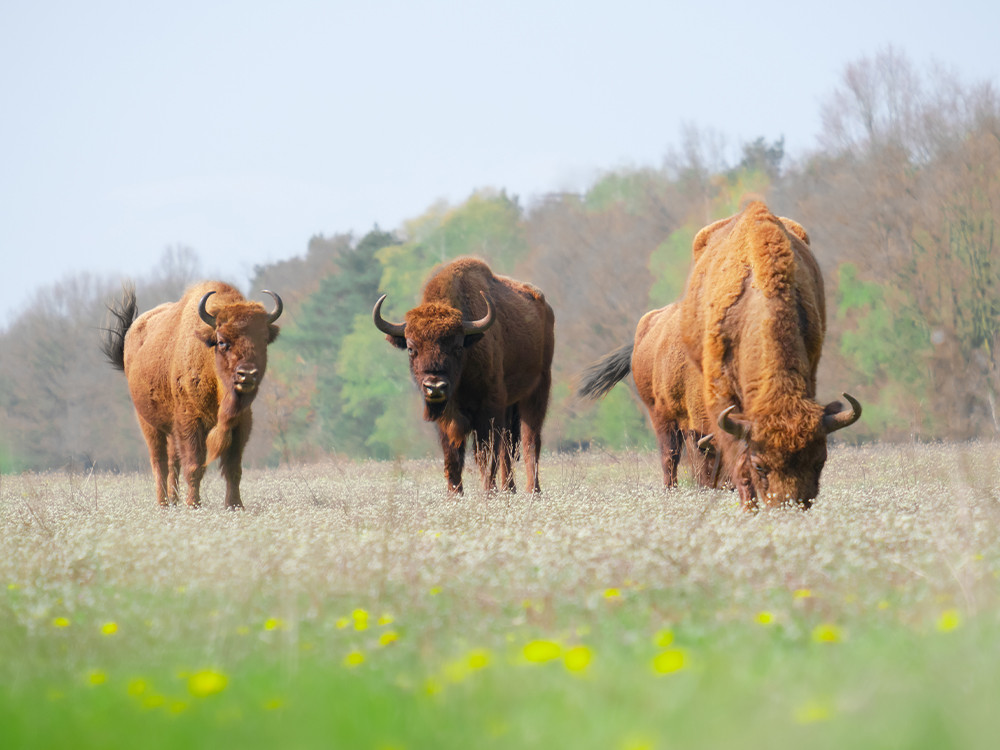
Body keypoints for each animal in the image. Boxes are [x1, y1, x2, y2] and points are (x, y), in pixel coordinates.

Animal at [101, 284, 280, 512]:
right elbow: (195, 465)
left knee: (172, 462)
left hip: (170, 430)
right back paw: (163, 504)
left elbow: (233, 468)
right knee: (159, 462)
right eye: (222, 342)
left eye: (264, 340)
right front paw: (193, 505)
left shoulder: (241, 422)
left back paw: (173, 501)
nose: (247, 374)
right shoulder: (191, 421)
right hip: (149, 424)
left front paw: (235, 505)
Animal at [374, 258, 556, 494]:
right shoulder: (447, 419)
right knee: (508, 447)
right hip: (510, 403)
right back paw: (509, 489)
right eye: (412, 349)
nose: (435, 386)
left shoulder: (488, 410)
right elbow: (453, 457)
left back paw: (533, 491)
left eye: (458, 347)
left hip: (537, 390)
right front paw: (455, 494)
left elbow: (486, 454)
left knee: (530, 441)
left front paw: (488, 493)